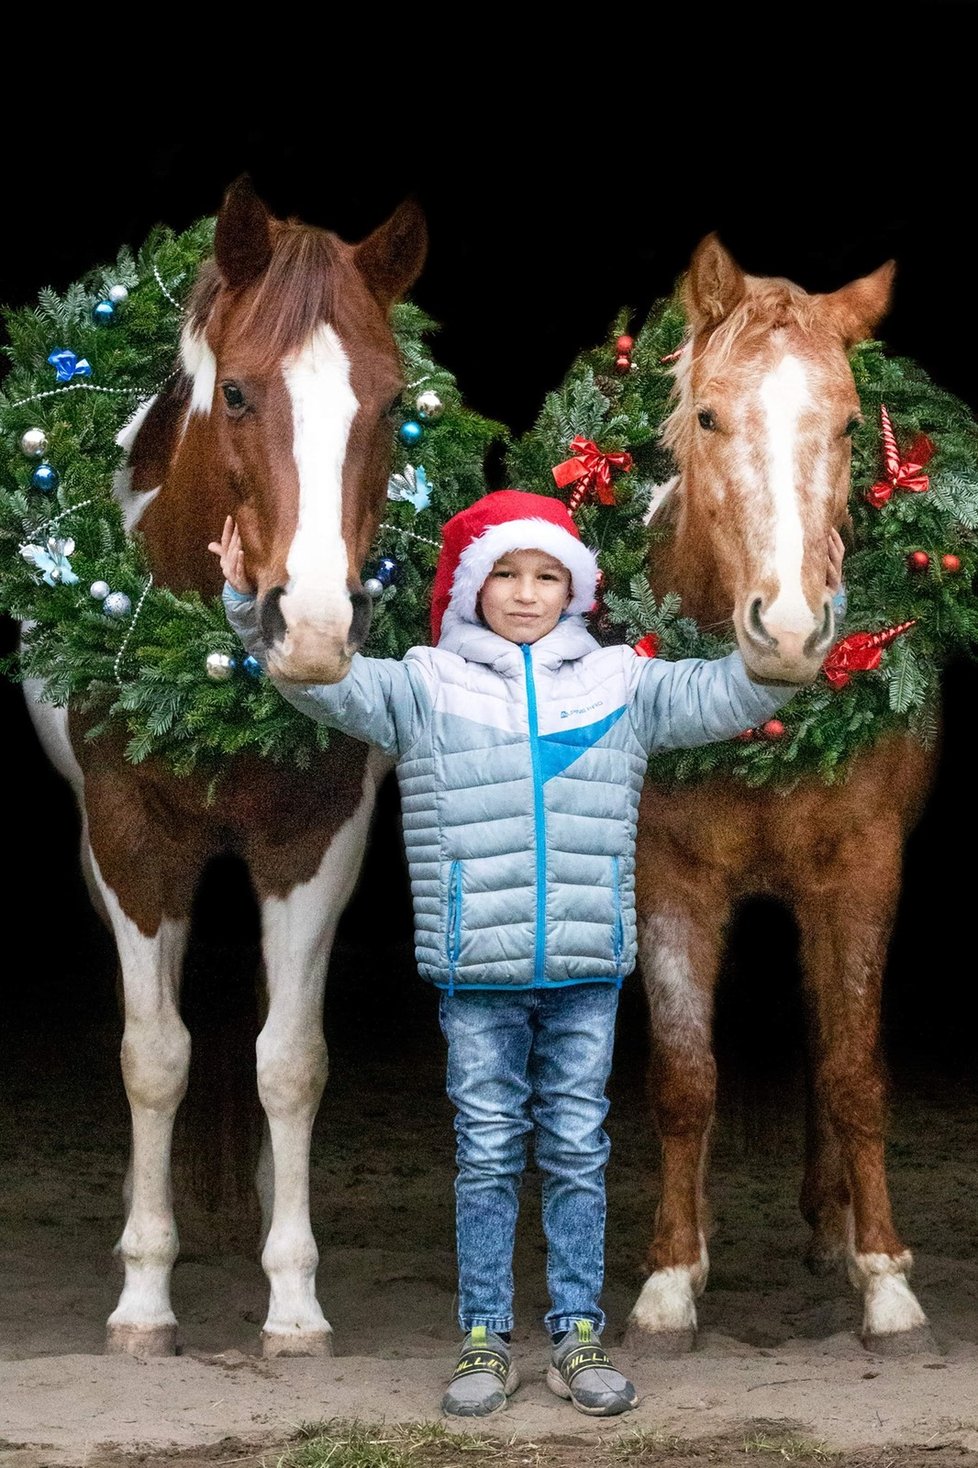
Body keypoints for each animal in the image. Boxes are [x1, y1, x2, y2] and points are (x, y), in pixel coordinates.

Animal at [21, 177, 425, 1356]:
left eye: (393, 403)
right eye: (238, 394)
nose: (315, 630)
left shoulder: (317, 839)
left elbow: (290, 1059)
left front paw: (293, 1301)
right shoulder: (130, 841)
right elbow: (154, 1057)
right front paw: (144, 1296)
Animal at [625, 237, 928, 1350]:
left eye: (845, 423)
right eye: (710, 416)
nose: (791, 630)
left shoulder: (862, 872)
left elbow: (851, 1068)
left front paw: (884, 1274)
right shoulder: (665, 879)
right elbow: (684, 1076)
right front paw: (670, 1274)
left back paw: (831, 1228)